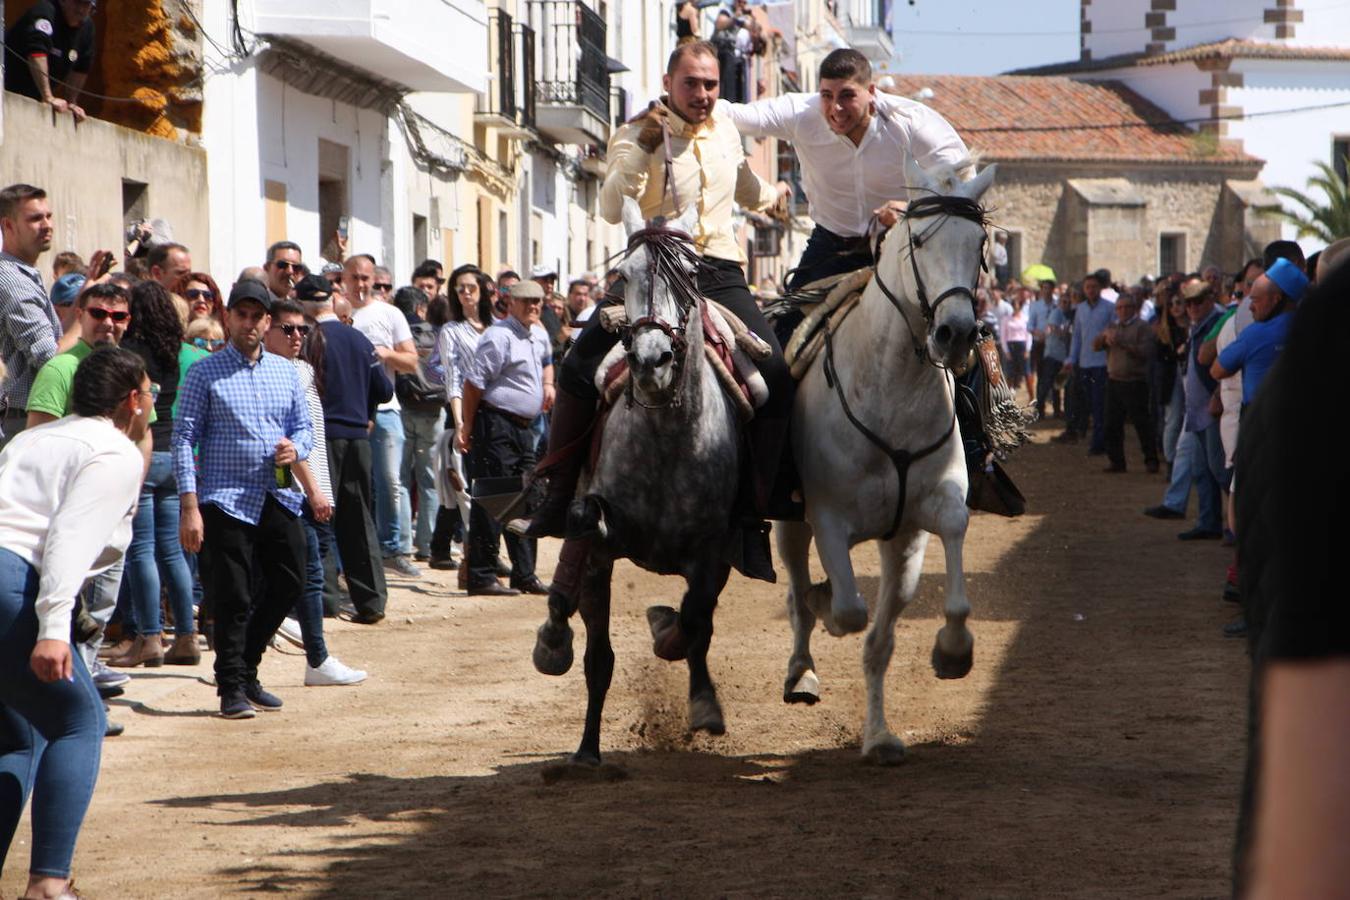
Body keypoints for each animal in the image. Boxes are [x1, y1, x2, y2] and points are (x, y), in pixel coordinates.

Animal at [529, 198, 745, 766]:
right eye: (623, 275)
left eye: (691, 274)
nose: (651, 361)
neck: (668, 437)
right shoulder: (601, 550)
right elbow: (598, 656)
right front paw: (586, 749)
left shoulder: (712, 554)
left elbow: (693, 624)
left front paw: (703, 702)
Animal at [777, 163, 999, 766]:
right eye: (919, 242)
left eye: (979, 245)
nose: (956, 333)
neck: (890, 386)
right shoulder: (828, 520)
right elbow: (849, 610)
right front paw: (829, 605)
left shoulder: (916, 527)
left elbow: (888, 636)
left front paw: (950, 655)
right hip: (789, 522)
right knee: (797, 593)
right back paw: (802, 671)